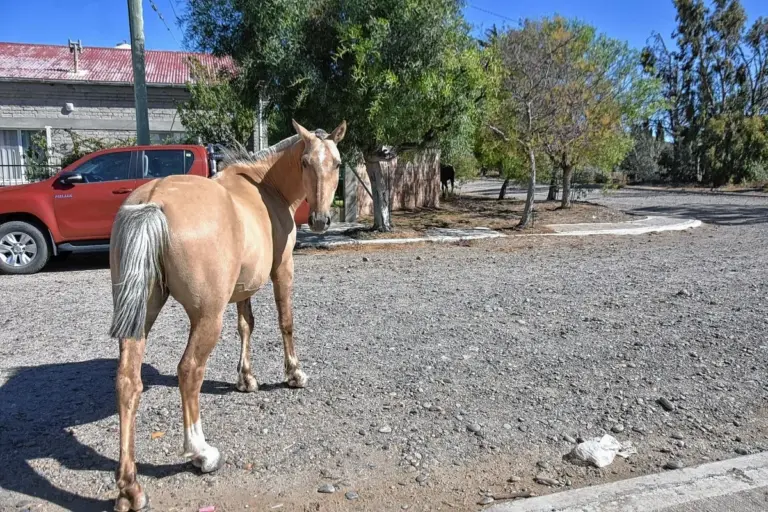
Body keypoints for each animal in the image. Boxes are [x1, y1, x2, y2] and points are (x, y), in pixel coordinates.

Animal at [108, 119, 346, 512]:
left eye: (337, 163)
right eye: (306, 162)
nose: (321, 220)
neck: (265, 187)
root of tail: (154, 198)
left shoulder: (242, 288)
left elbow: (246, 326)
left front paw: (246, 379)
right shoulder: (283, 269)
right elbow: (286, 322)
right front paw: (294, 374)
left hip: (140, 315)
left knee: (128, 381)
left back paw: (130, 488)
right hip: (207, 318)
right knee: (189, 371)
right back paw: (201, 453)